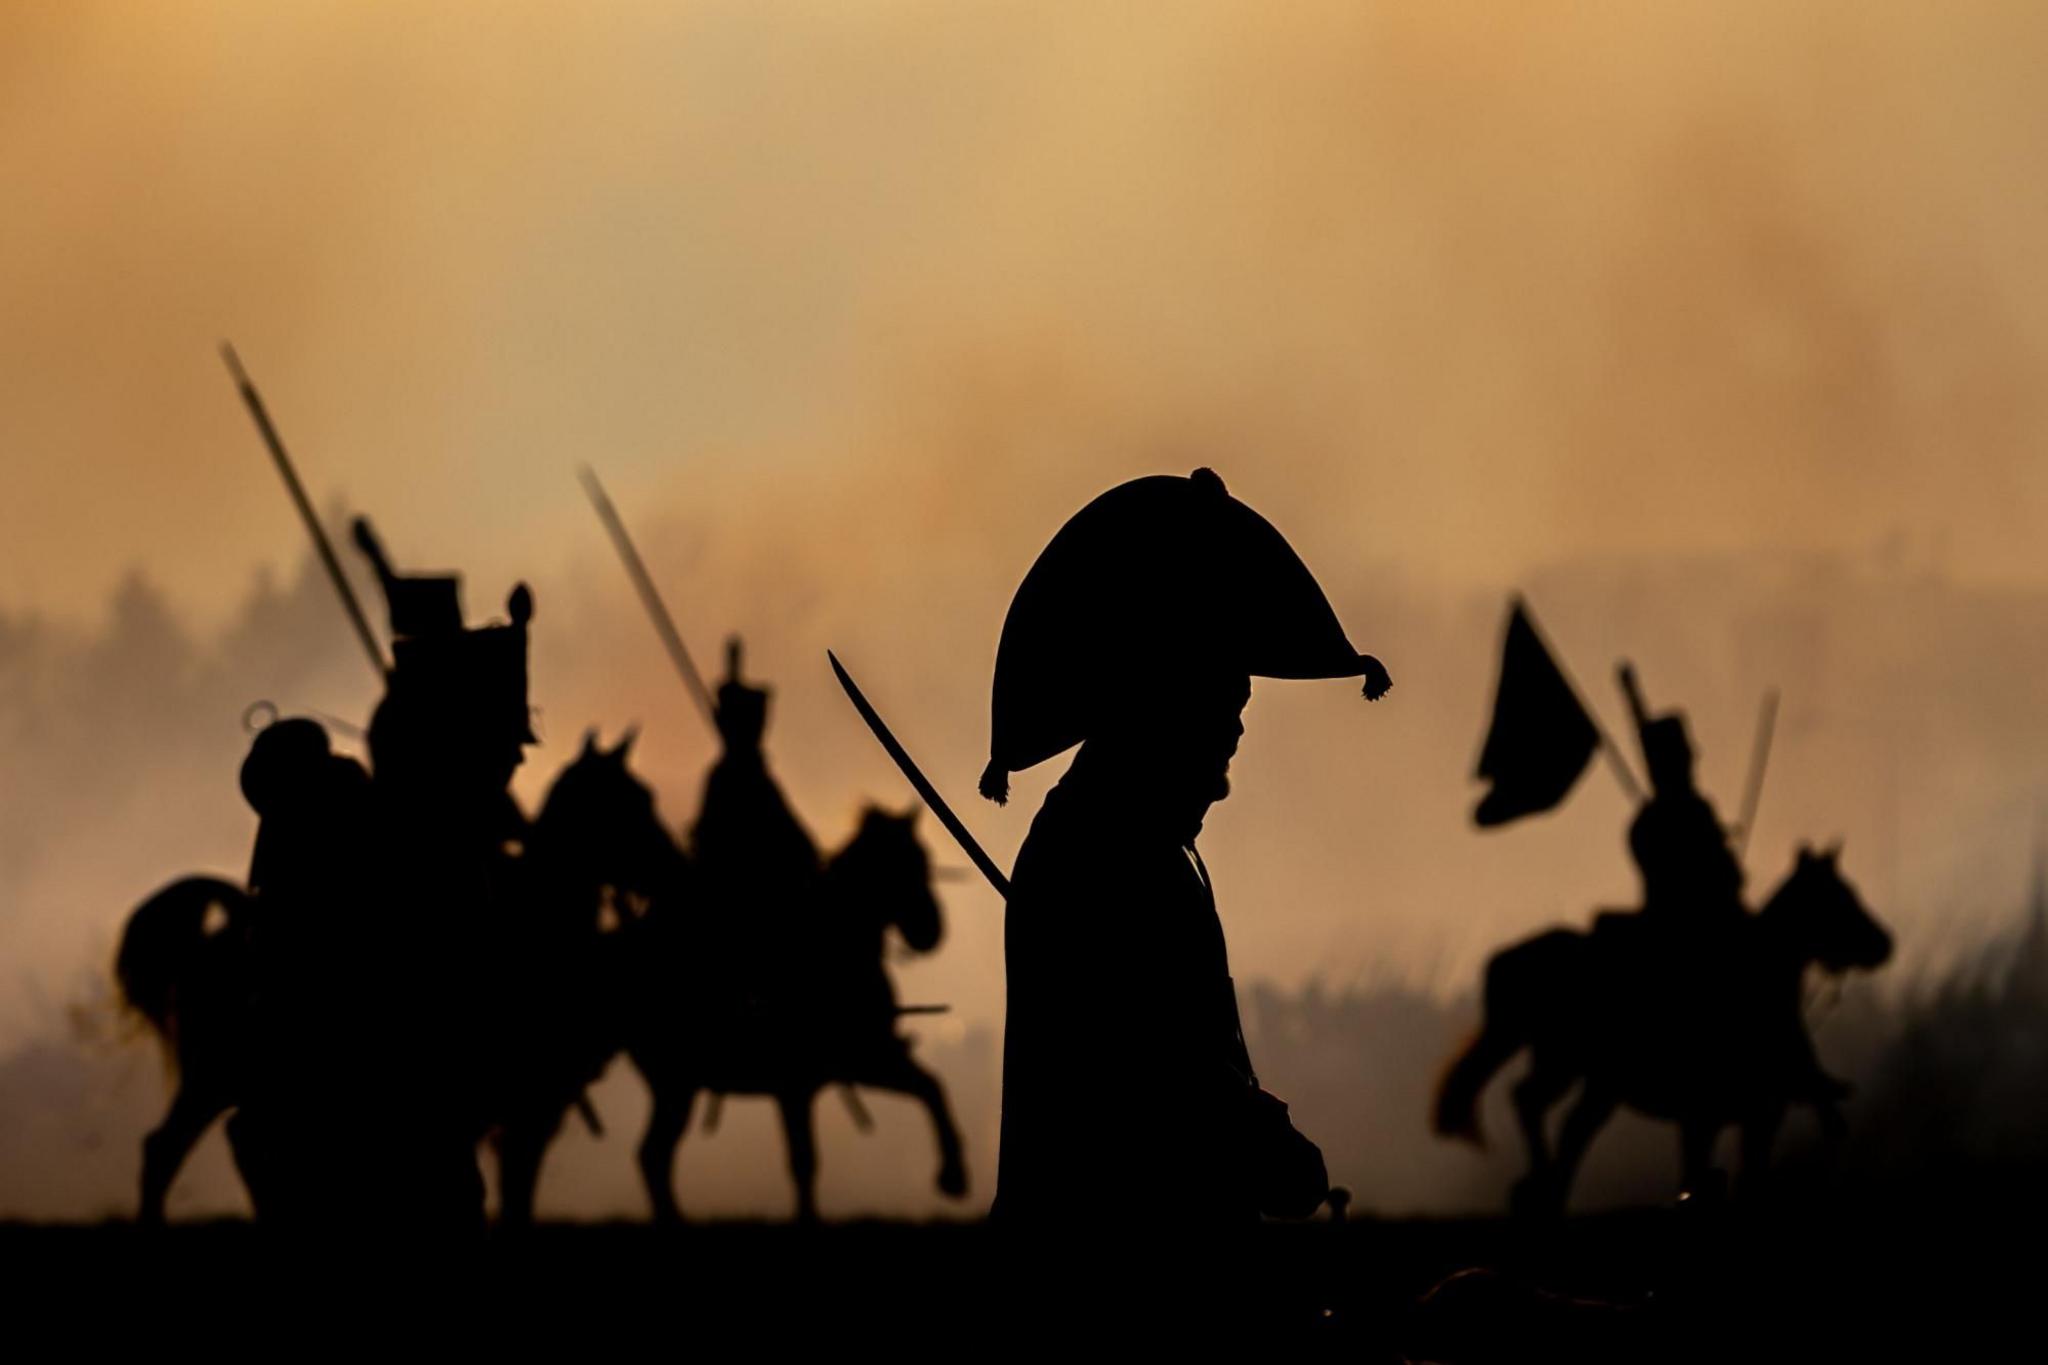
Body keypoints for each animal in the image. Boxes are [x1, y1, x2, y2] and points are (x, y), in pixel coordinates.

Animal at [626, 806, 970, 1219]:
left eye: (922, 858)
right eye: (898, 863)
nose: (930, 931)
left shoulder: (865, 1060)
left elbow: (930, 1087)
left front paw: (954, 1176)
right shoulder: (803, 1081)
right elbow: (803, 1160)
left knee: (653, 1156)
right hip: (675, 1083)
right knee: (653, 1155)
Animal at [1441, 843, 1884, 1219]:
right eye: (1839, 896)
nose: (1883, 944)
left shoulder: (1746, 1116)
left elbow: (1734, 1176)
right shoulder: (1710, 1114)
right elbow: (1708, 1175)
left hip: (1595, 1081)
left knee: (1567, 1125)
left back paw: (1546, 1189)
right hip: (1564, 1062)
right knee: (1533, 1103)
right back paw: (1540, 1184)